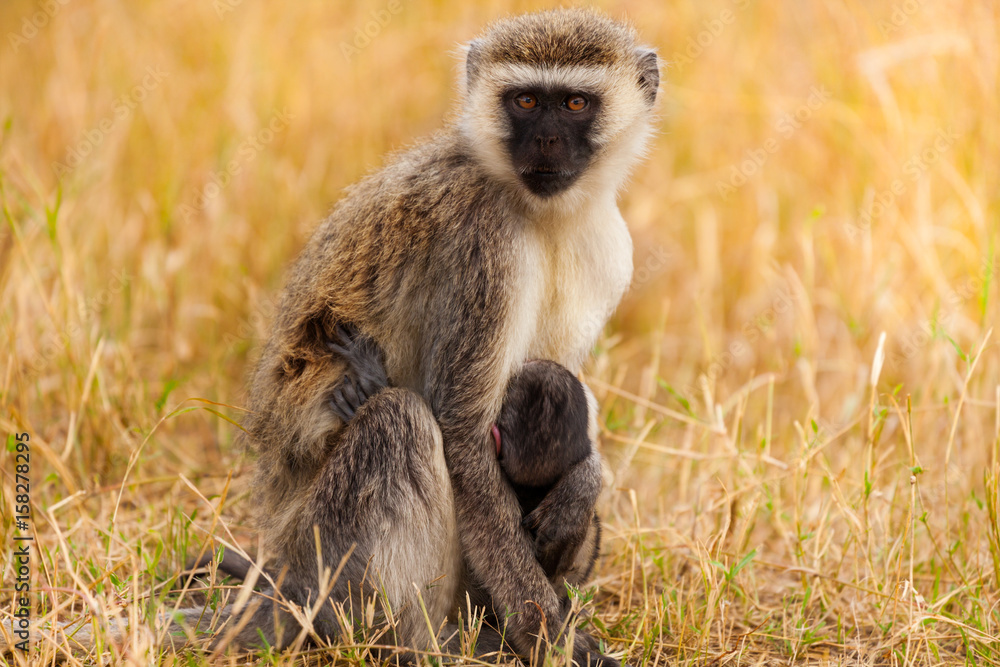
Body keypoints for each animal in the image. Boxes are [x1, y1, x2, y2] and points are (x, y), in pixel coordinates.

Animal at [237, 7, 656, 664]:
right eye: (526, 101)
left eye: (576, 103)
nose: (547, 142)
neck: (540, 211)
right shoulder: (483, 242)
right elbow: (461, 430)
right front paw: (548, 636)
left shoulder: (608, 249)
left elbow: (562, 397)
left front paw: (585, 483)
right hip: (315, 559)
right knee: (398, 421)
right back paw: (416, 644)